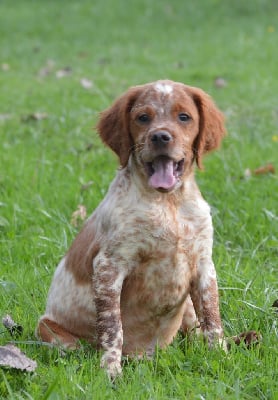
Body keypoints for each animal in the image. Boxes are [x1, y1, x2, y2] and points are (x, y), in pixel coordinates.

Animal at [37, 78, 227, 378]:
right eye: (143, 118)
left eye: (184, 117)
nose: (160, 137)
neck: (167, 203)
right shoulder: (109, 266)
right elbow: (112, 327)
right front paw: (110, 372)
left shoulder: (203, 264)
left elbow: (212, 316)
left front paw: (221, 358)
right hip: (49, 330)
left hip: (185, 306)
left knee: (194, 327)